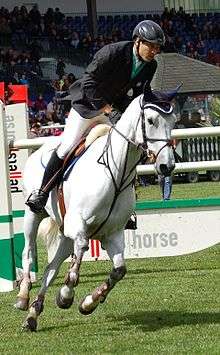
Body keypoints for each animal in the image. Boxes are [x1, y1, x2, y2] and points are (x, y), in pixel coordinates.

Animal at [15, 87, 177, 332]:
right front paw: (66, 296)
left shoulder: (112, 234)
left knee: (51, 269)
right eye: (150, 120)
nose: (167, 166)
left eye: (173, 121)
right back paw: (23, 296)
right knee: (29, 251)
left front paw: (88, 303)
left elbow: (119, 270)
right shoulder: (78, 226)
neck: (116, 174)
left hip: (64, 234)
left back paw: (33, 315)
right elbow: (80, 254)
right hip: (34, 214)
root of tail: (39, 149)